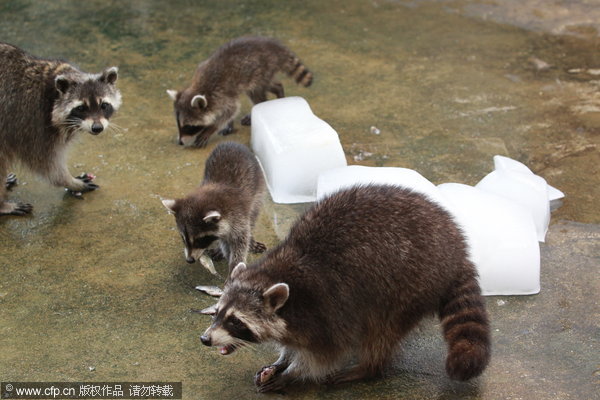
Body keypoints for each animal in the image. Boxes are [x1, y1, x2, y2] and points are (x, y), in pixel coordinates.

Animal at [0, 42, 122, 216]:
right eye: (81, 108)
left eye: (104, 105)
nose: (97, 128)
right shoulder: (30, 123)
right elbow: (46, 165)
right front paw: (71, 182)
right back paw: (3, 205)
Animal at [164, 141, 268, 278]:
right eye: (183, 238)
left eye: (200, 240)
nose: (190, 260)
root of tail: (233, 142)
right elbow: (224, 240)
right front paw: (224, 251)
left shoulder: (238, 216)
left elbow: (240, 242)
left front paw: (234, 266)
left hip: (258, 189)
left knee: (253, 216)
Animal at [165, 35, 312, 148]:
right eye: (179, 125)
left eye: (188, 126)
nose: (180, 142)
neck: (200, 88)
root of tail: (273, 47)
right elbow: (230, 112)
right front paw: (228, 124)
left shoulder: (222, 94)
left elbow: (231, 110)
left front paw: (211, 128)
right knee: (269, 86)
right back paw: (277, 90)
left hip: (260, 71)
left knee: (258, 94)